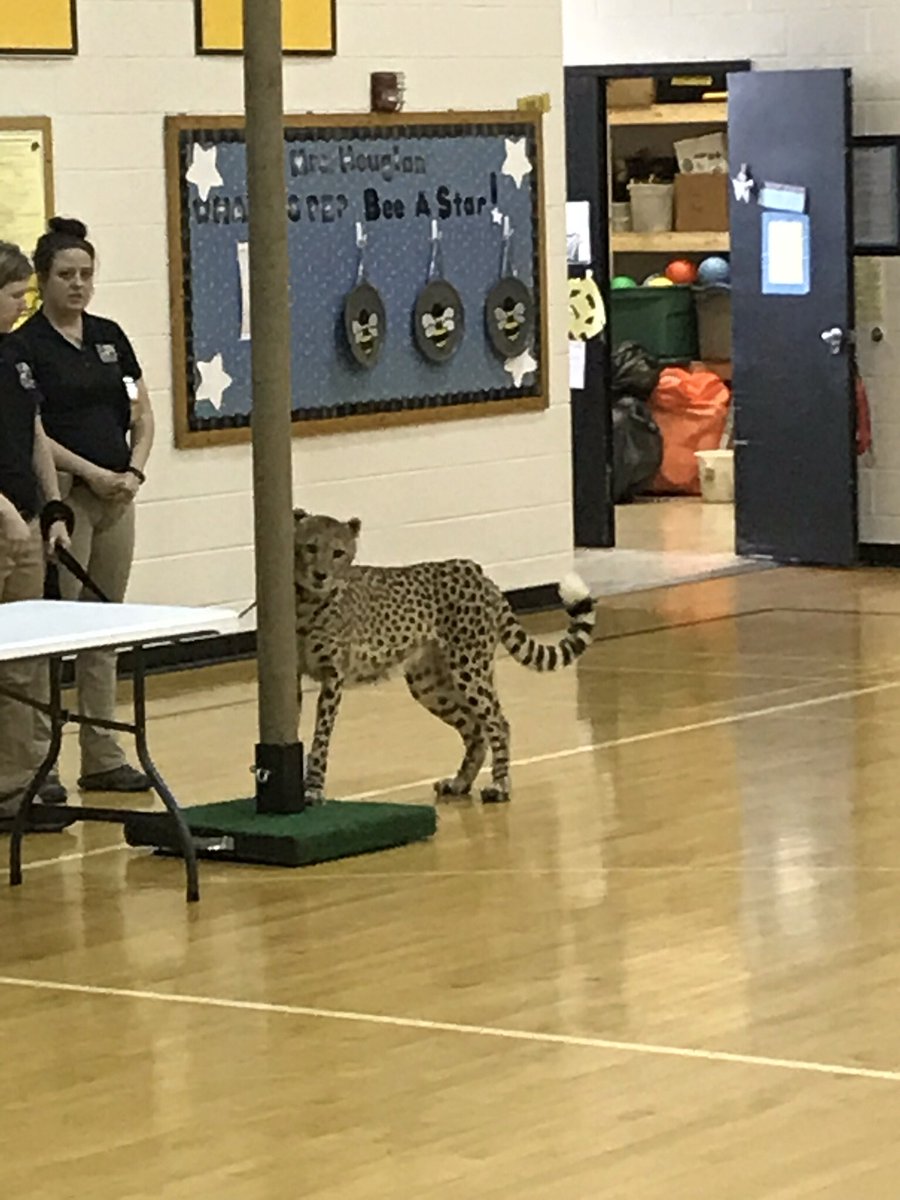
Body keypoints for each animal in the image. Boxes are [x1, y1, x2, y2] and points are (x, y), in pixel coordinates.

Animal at [293, 509, 596, 805]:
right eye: (311, 547)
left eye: (338, 552)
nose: (320, 574)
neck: (306, 602)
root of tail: (478, 573)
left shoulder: (333, 677)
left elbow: (321, 736)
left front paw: (313, 788)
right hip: (429, 685)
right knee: (474, 729)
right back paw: (460, 782)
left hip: (469, 670)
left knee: (498, 723)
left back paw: (499, 785)